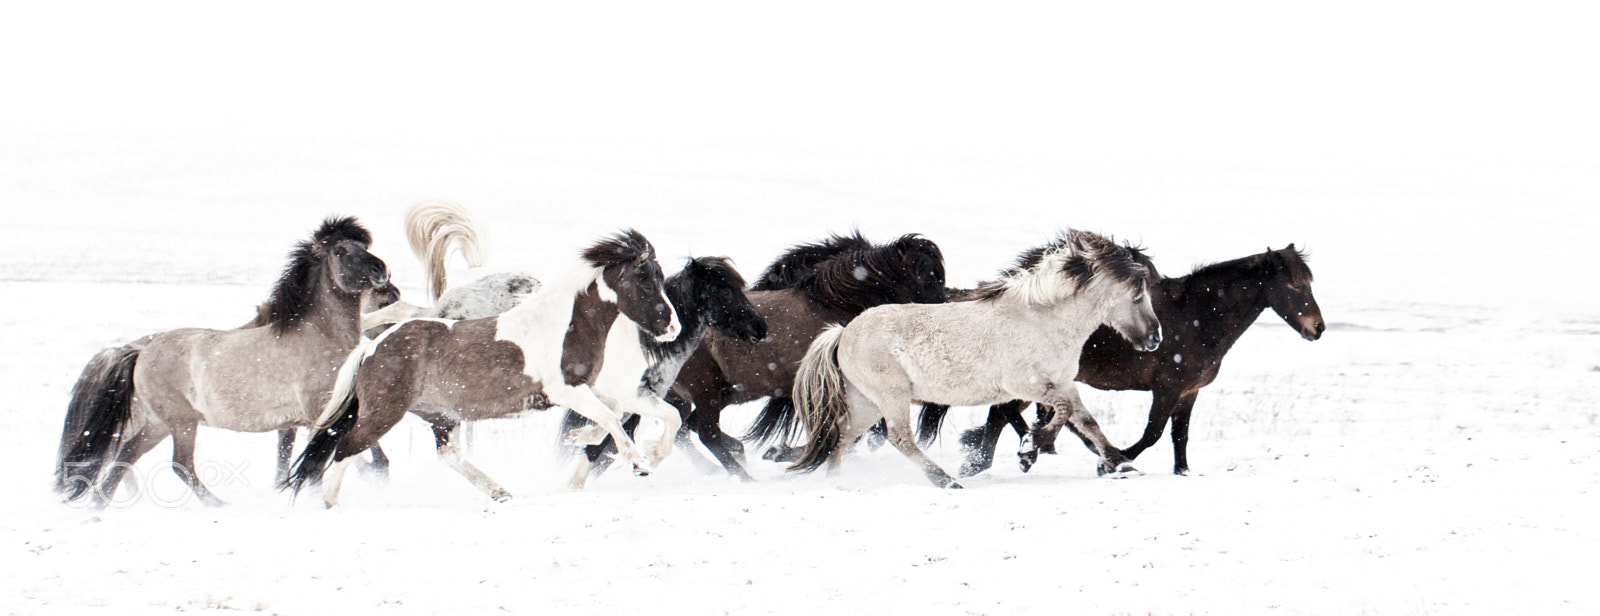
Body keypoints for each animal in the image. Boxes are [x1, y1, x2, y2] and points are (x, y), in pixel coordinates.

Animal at [54, 217, 392, 507]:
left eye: (363, 246)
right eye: (340, 251)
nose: (382, 270)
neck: (319, 339)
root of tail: (139, 353)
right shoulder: (319, 415)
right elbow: (324, 459)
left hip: (158, 424)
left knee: (125, 456)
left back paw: (99, 507)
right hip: (180, 423)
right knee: (179, 464)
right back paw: (218, 505)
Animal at [282, 229, 685, 507]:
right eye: (645, 281)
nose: (672, 328)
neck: (565, 325)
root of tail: (371, 349)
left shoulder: (597, 388)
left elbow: (630, 416)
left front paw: (590, 440)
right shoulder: (566, 390)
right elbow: (612, 418)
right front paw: (639, 461)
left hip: (442, 415)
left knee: (448, 455)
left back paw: (500, 492)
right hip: (385, 412)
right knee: (346, 447)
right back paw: (330, 504)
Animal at [660, 232, 948, 481]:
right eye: (927, 277)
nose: (941, 310)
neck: (836, 307)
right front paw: (783, 453)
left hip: (706, 396)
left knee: (688, 428)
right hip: (706, 392)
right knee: (705, 433)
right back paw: (743, 475)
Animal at [788, 230, 1162, 488]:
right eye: (1137, 296)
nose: (1155, 338)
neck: (1041, 320)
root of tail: (842, 334)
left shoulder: (1063, 382)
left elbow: (1087, 421)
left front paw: (1122, 464)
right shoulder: (1025, 385)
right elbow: (1062, 413)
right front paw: (1029, 448)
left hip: (865, 402)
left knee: (841, 436)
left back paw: (837, 481)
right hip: (891, 396)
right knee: (899, 438)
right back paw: (948, 481)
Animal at [918, 245, 1324, 476]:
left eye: (1309, 283)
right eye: (1293, 285)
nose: (1317, 328)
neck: (1198, 316)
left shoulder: (1189, 393)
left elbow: (1179, 436)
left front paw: (1182, 473)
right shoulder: (1167, 389)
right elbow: (1153, 433)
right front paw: (1111, 461)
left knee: (1003, 416)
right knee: (1001, 415)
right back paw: (997, 459)